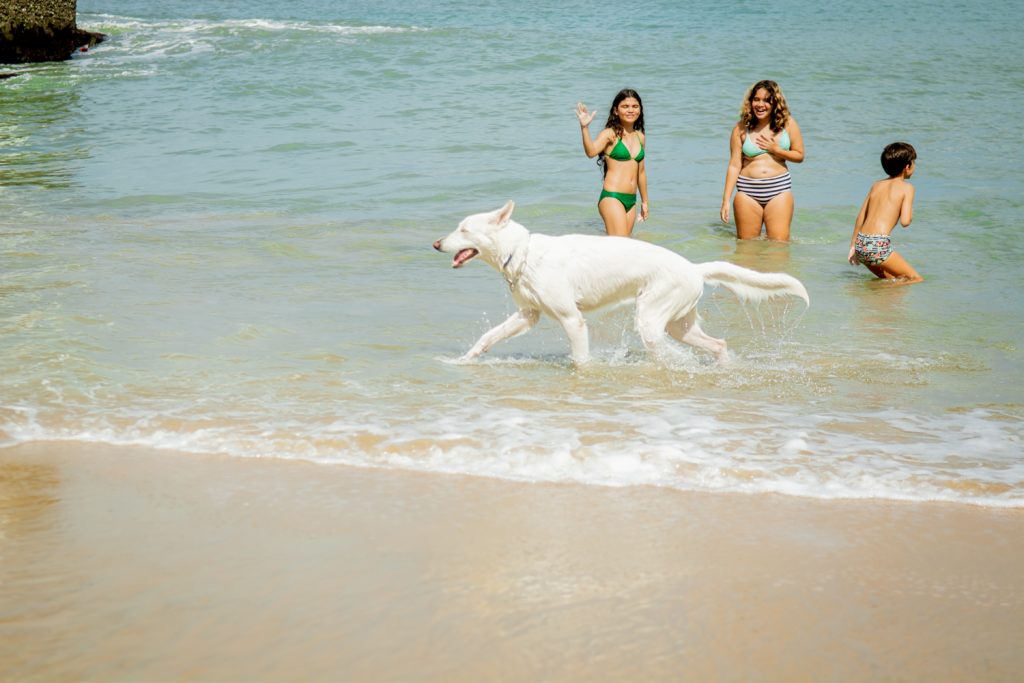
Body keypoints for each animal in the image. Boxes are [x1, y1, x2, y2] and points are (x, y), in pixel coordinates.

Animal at [432, 201, 806, 366]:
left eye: (463, 229)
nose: (436, 244)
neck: (522, 254)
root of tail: (693, 268)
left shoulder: (572, 320)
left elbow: (580, 358)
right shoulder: (527, 315)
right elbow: (487, 338)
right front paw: (464, 360)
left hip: (652, 321)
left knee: (673, 353)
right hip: (678, 325)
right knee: (718, 344)